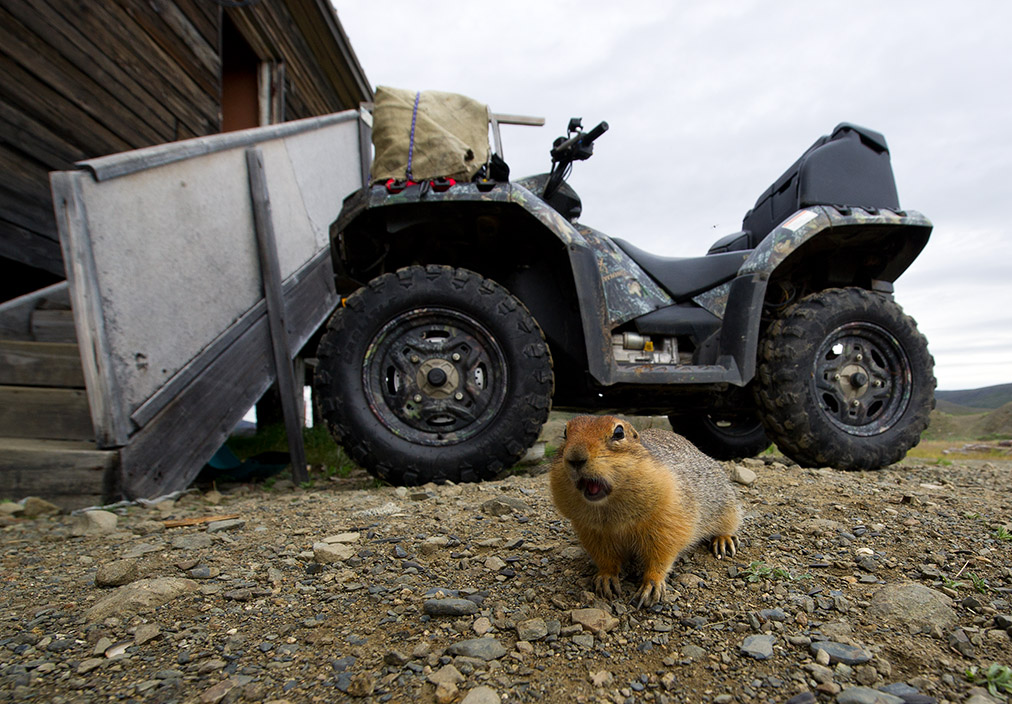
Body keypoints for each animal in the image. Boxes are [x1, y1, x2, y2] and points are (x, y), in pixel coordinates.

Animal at [554, 414, 744, 606]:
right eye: (565, 432)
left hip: (726, 503)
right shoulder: (591, 532)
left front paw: (651, 587)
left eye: (619, 432)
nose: (575, 457)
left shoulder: (668, 521)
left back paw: (724, 541)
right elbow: (605, 557)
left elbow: (662, 554)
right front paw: (606, 579)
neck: (611, 512)